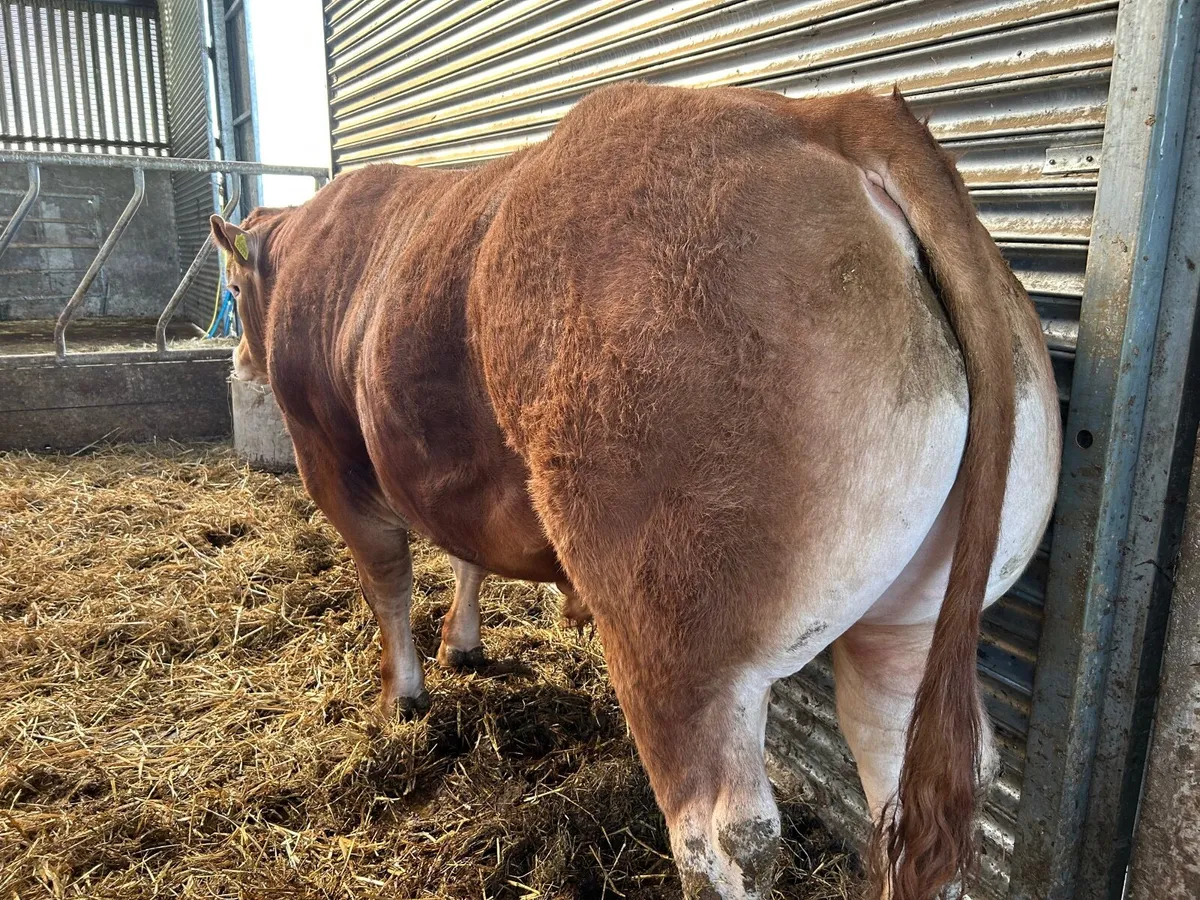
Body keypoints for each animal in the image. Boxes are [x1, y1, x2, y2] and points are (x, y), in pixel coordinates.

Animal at [210, 83, 1061, 900]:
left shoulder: (331, 462)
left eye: (231, 285)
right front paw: (462, 643)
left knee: (722, 837)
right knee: (906, 795)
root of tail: (826, 113)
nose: (239, 362)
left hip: (676, 634)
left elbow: (387, 582)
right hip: (909, 624)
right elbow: (466, 554)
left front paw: (402, 698)